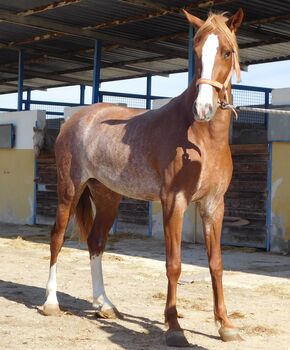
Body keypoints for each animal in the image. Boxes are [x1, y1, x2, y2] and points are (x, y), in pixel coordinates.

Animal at [43, 8, 245, 348]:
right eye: (196, 51)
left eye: (227, 52)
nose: (203, 108)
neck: (200, 138)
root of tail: (75, 118)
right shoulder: (174, 202)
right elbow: (174, 264)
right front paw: (174, 327)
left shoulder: (214, 205)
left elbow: (216, 264)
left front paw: (225, 325)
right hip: (69, 190)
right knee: (57, 238)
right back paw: (50, 303)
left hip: (107, 196)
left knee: (96, 242)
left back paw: (105, 305)